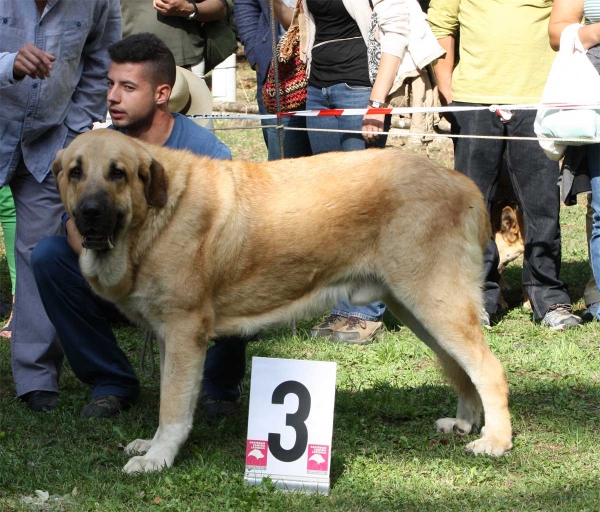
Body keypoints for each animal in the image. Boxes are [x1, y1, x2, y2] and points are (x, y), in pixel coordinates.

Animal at [52, 128, 510, 472]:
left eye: (118, 173)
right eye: (76, 173)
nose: (90, 212)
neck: (154, 215)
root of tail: (460, 181)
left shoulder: (184, 332)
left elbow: (173, 407)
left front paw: (158, 458)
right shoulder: (169, 338)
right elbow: (171, 396)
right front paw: (152, 446)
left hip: (436, 303)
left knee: (489, 369)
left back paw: (496, 441)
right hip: (420, 311)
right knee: (462, 370)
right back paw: (465, 423)